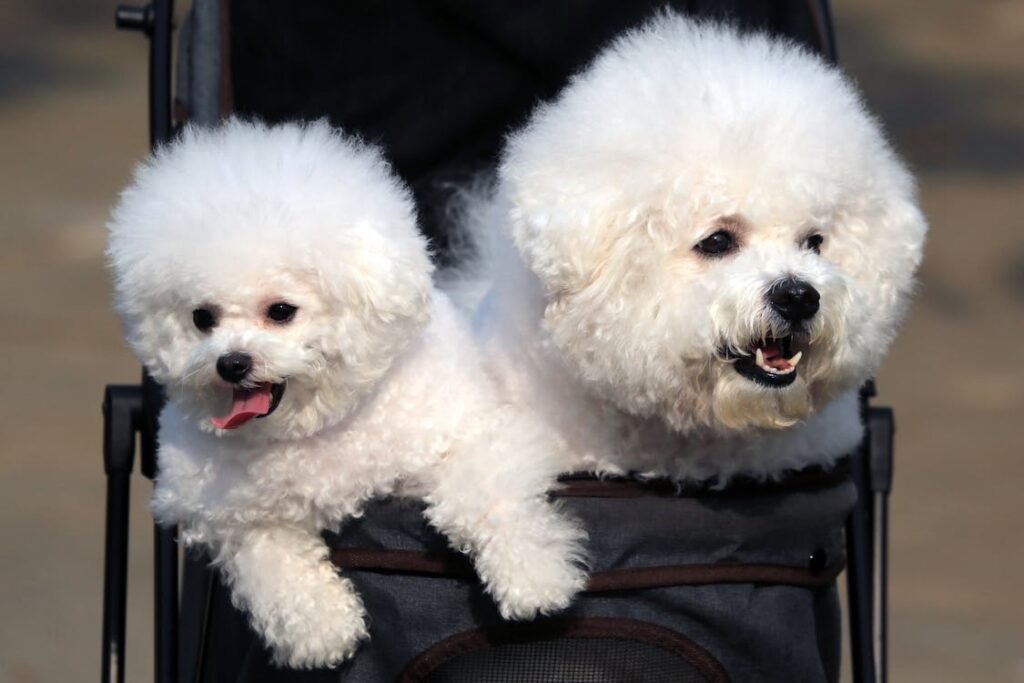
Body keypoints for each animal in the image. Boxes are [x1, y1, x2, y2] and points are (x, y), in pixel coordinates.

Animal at [105, 121, 585, 667]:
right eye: (201, 319)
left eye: (281, 311)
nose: (231, 363)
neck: (317, 428)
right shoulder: (234, 516)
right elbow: (270, 561)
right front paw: (321, 630)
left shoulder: (469, 435)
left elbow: (484, 500)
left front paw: (534, 580)